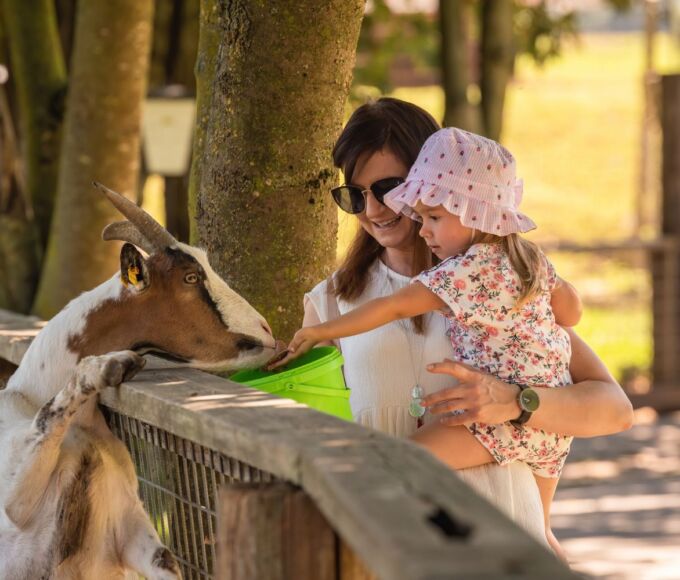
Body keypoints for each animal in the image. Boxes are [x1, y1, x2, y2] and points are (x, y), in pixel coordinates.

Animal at [0, 184, 278, 576]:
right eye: (190, 277)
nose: (267, 331)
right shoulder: (14, 503)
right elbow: (48, 417)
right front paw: (114, 364)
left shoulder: (129, 528)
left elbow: (167, 561)